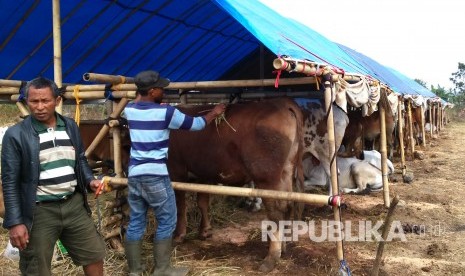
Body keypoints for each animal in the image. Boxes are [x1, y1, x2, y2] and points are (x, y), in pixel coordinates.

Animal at [167, 97, 304, 272]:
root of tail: (281, 103)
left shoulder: (176, 170)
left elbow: (180, 205)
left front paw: (179, 235)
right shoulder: (203, 173)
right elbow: (202, 201)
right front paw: (205, 231)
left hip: (267, 176)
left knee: (276, 211)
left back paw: (271, 258)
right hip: (286, 170)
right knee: (288, 205)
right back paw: (283, 247)